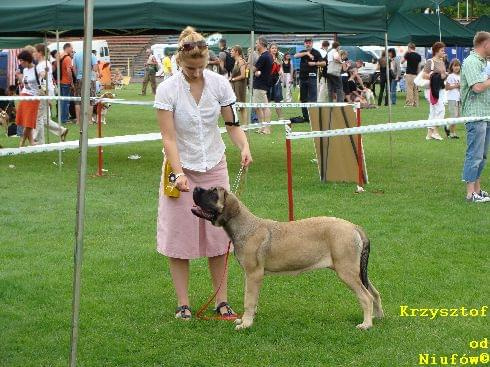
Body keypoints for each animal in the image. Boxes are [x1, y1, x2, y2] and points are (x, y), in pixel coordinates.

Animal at [191, 187, 382, 330]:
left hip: (347, 272)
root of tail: (355, 227)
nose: (195, 188)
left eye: (213, 192)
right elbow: (254, 300)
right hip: (358, 272)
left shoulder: (253, 274)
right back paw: (377, 317)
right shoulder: (254, 277)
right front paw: (247, 319)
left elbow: (248, 300)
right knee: (375, 293)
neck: (245, 227)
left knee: (366, 297)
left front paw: (246, 323)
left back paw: (366, 324)